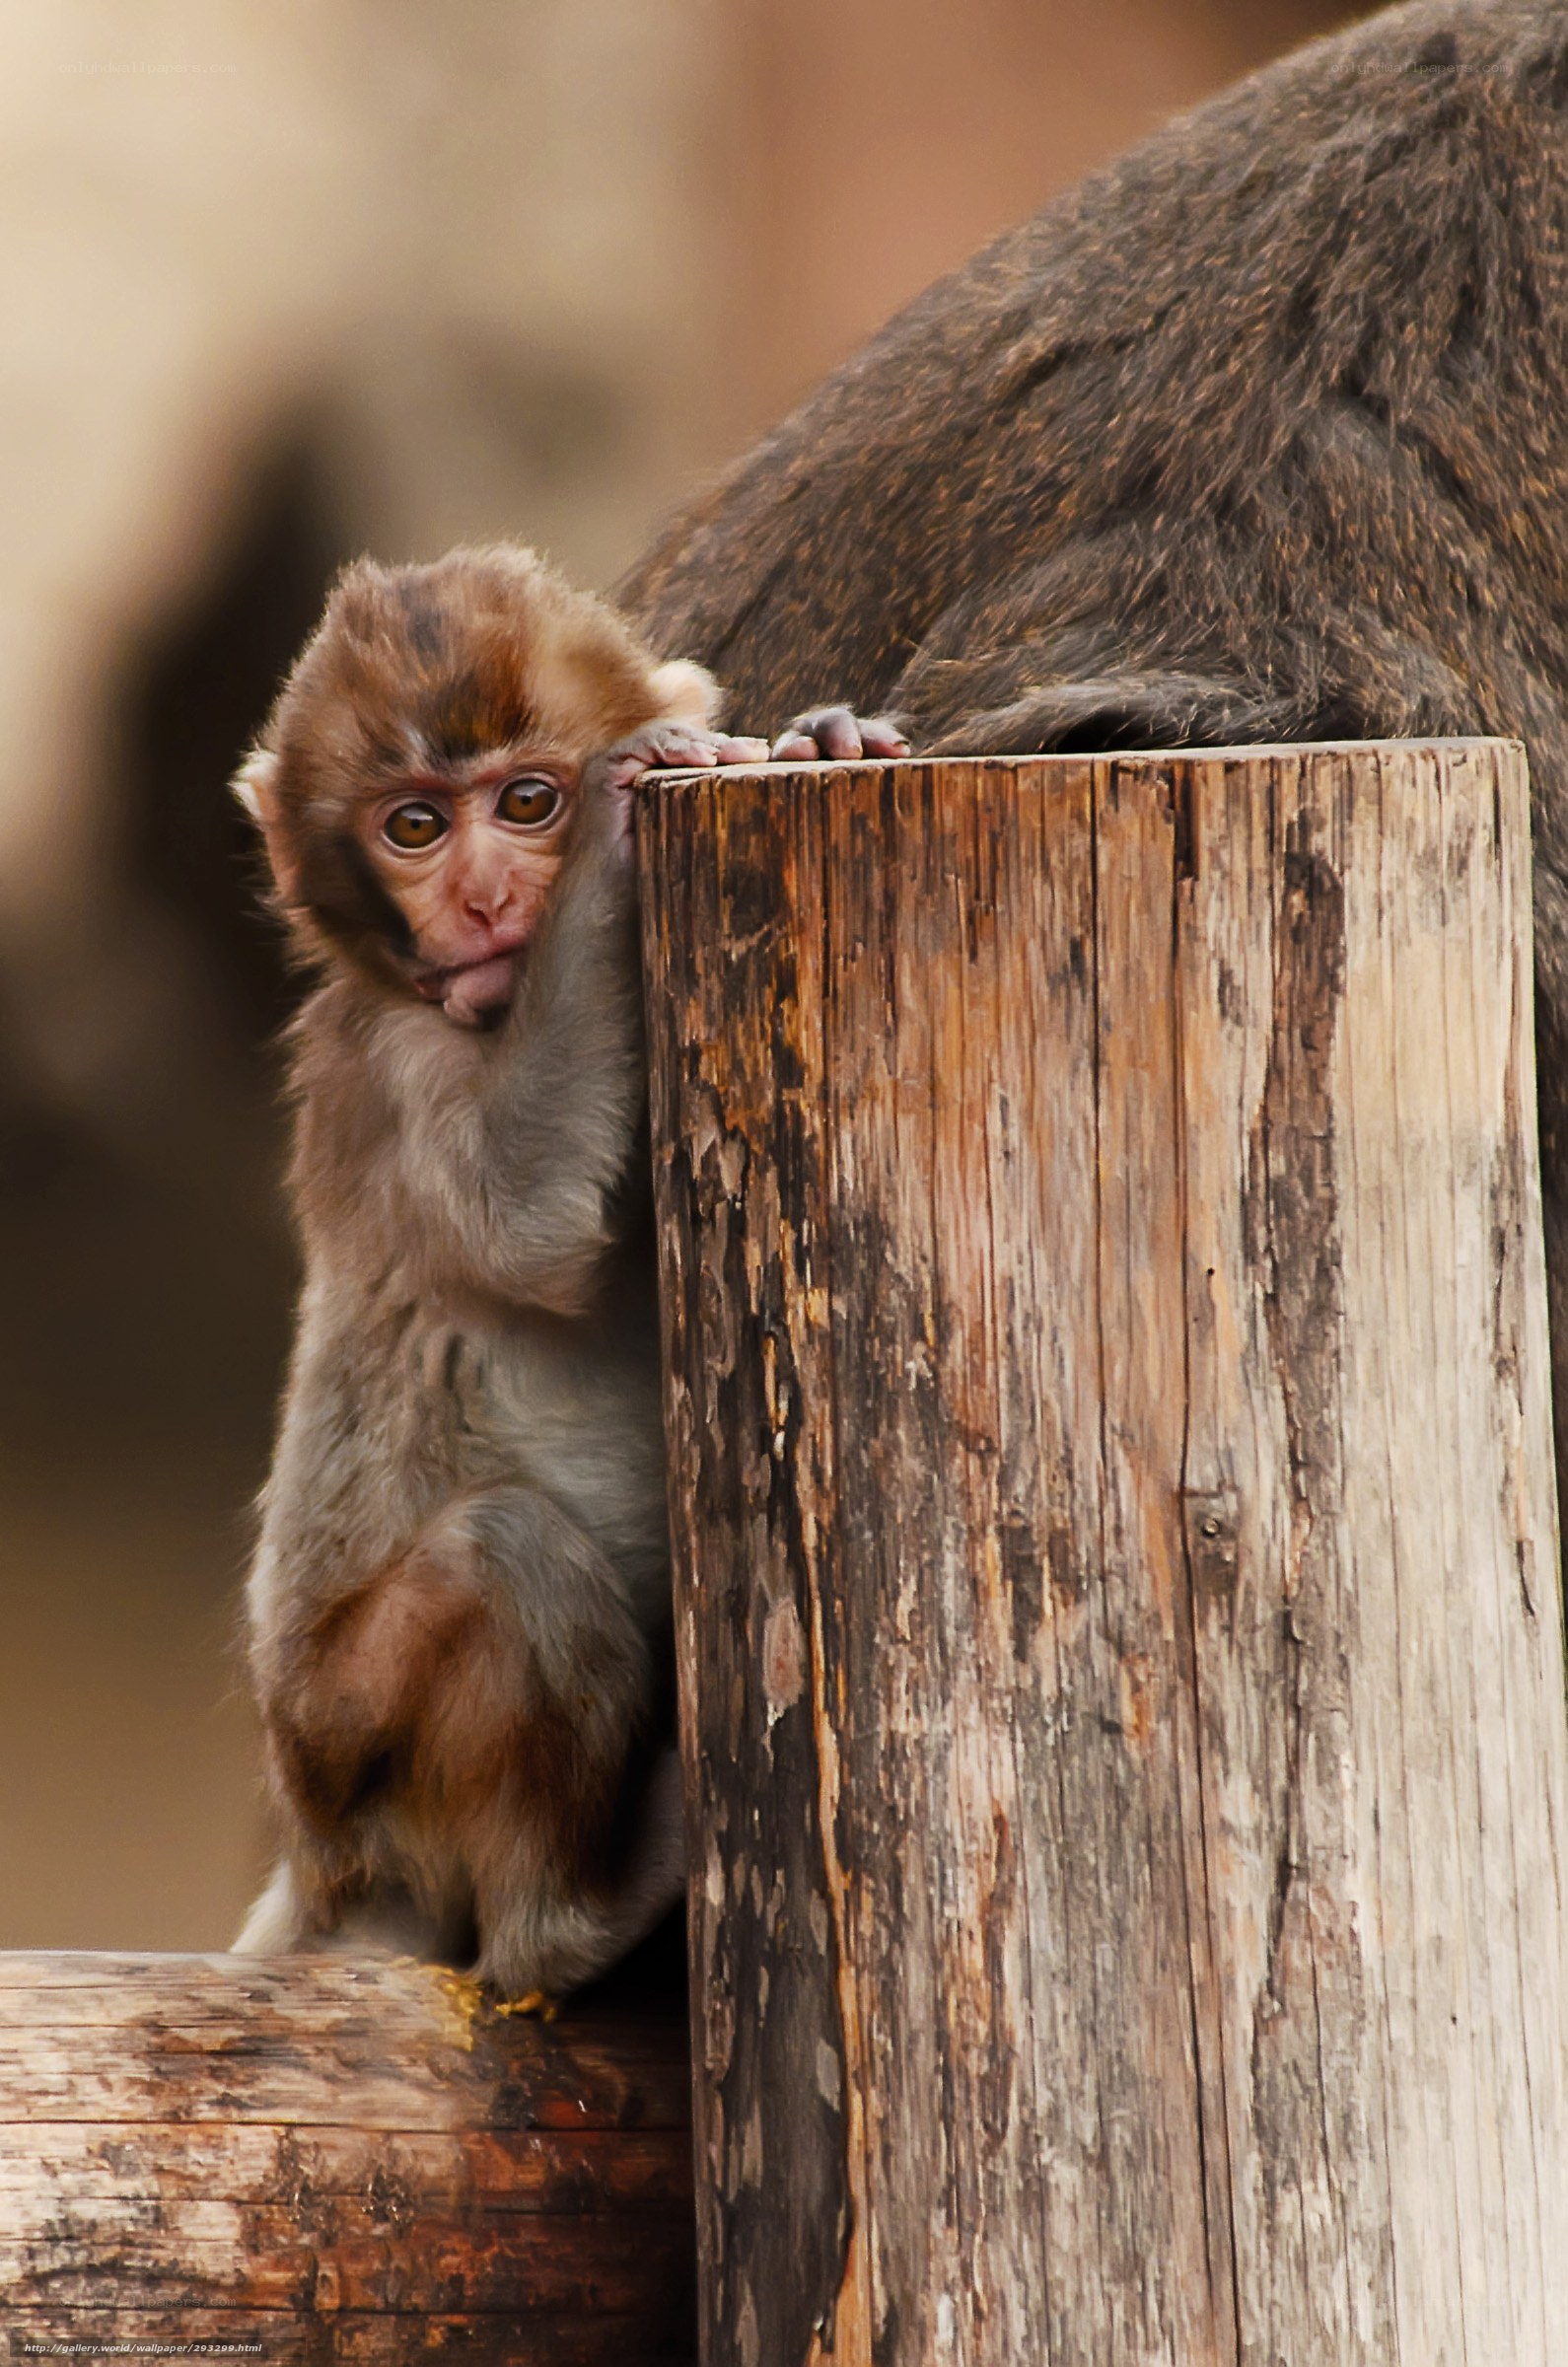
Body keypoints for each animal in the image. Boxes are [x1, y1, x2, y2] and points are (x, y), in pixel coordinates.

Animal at [228, 542, 903, 2000]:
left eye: (518, 801)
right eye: (413, 829)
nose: (487, 902)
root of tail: (316, 1858)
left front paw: (815, 739)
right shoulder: (394, 1064)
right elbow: (525, 1222)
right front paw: (613, 831)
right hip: (354, 1747)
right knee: (507, 1555)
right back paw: (575, 1912)